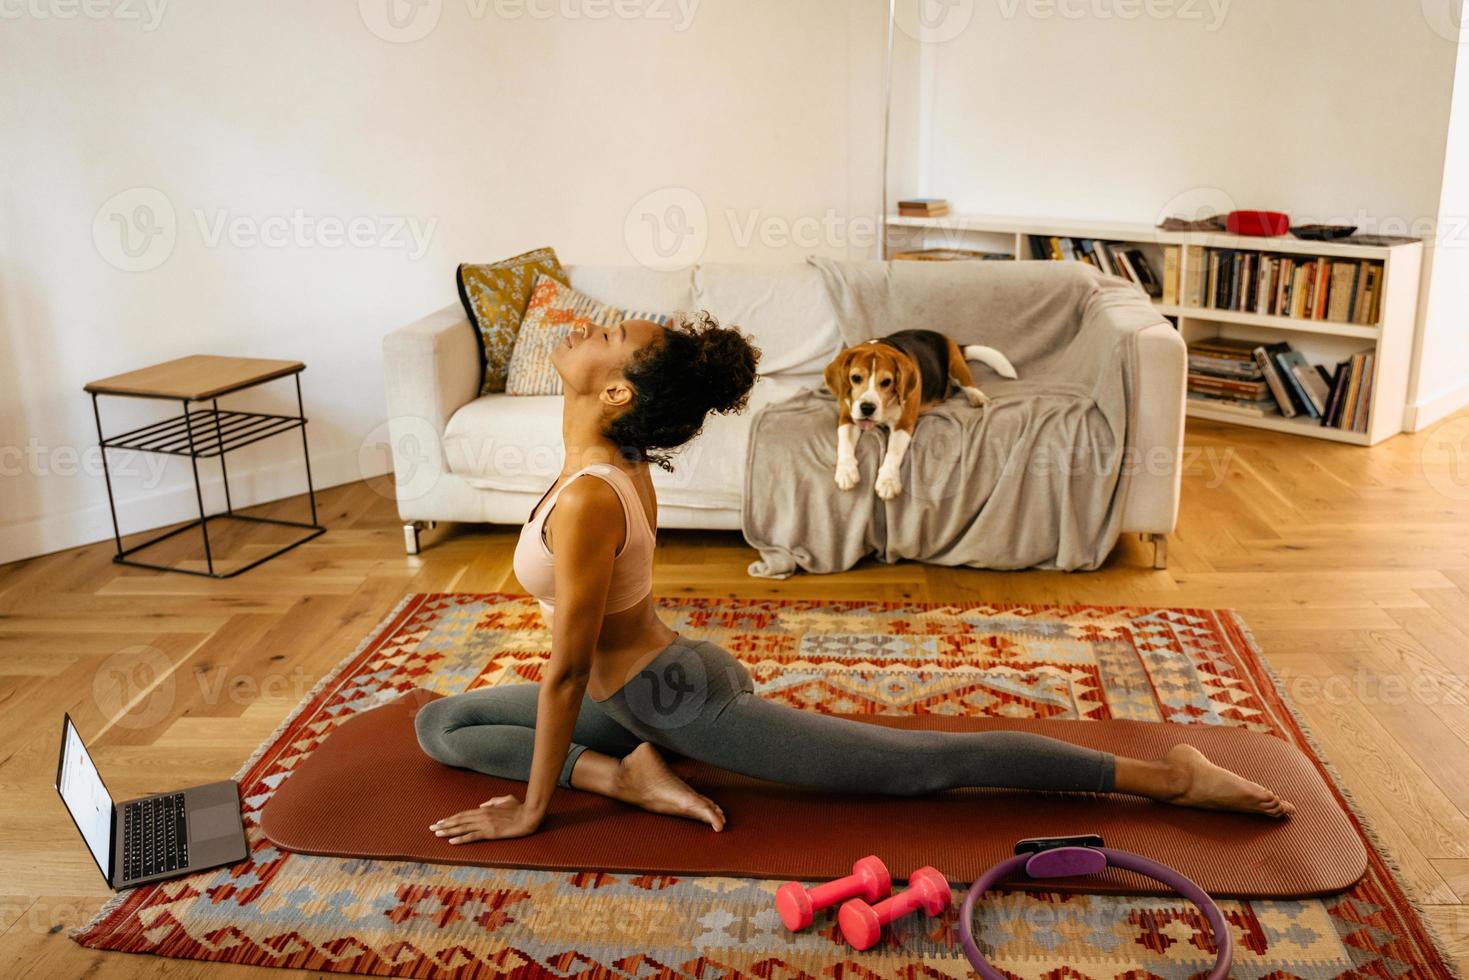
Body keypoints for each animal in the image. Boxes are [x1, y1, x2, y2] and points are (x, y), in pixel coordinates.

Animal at [822, 327, 1016, 499]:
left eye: (886, 382)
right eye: (855, 378)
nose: (867, 408)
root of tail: (948, 340)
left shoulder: (904, 424)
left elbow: (893, 452)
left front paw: (888, 481)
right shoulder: (847, 418)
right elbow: (845, 444)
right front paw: (846, 471)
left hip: (956, 365)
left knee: (968, 384)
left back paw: (977, 397)